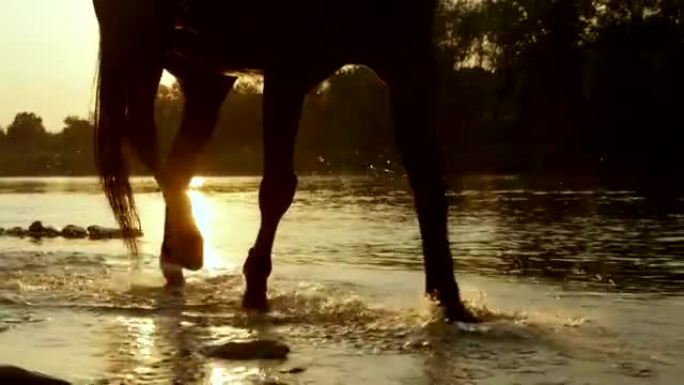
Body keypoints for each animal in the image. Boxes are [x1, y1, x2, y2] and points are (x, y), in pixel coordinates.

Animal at [91, 0, 478, 320]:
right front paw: (255, 290)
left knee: (179, 159)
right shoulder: (288, 66)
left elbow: (429, 183)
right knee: (142, 132)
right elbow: (278, 188)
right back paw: (188, 246)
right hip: (140, 41)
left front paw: (451, 302)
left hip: (204, 72)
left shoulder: (409, 60)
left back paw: (175, 258)